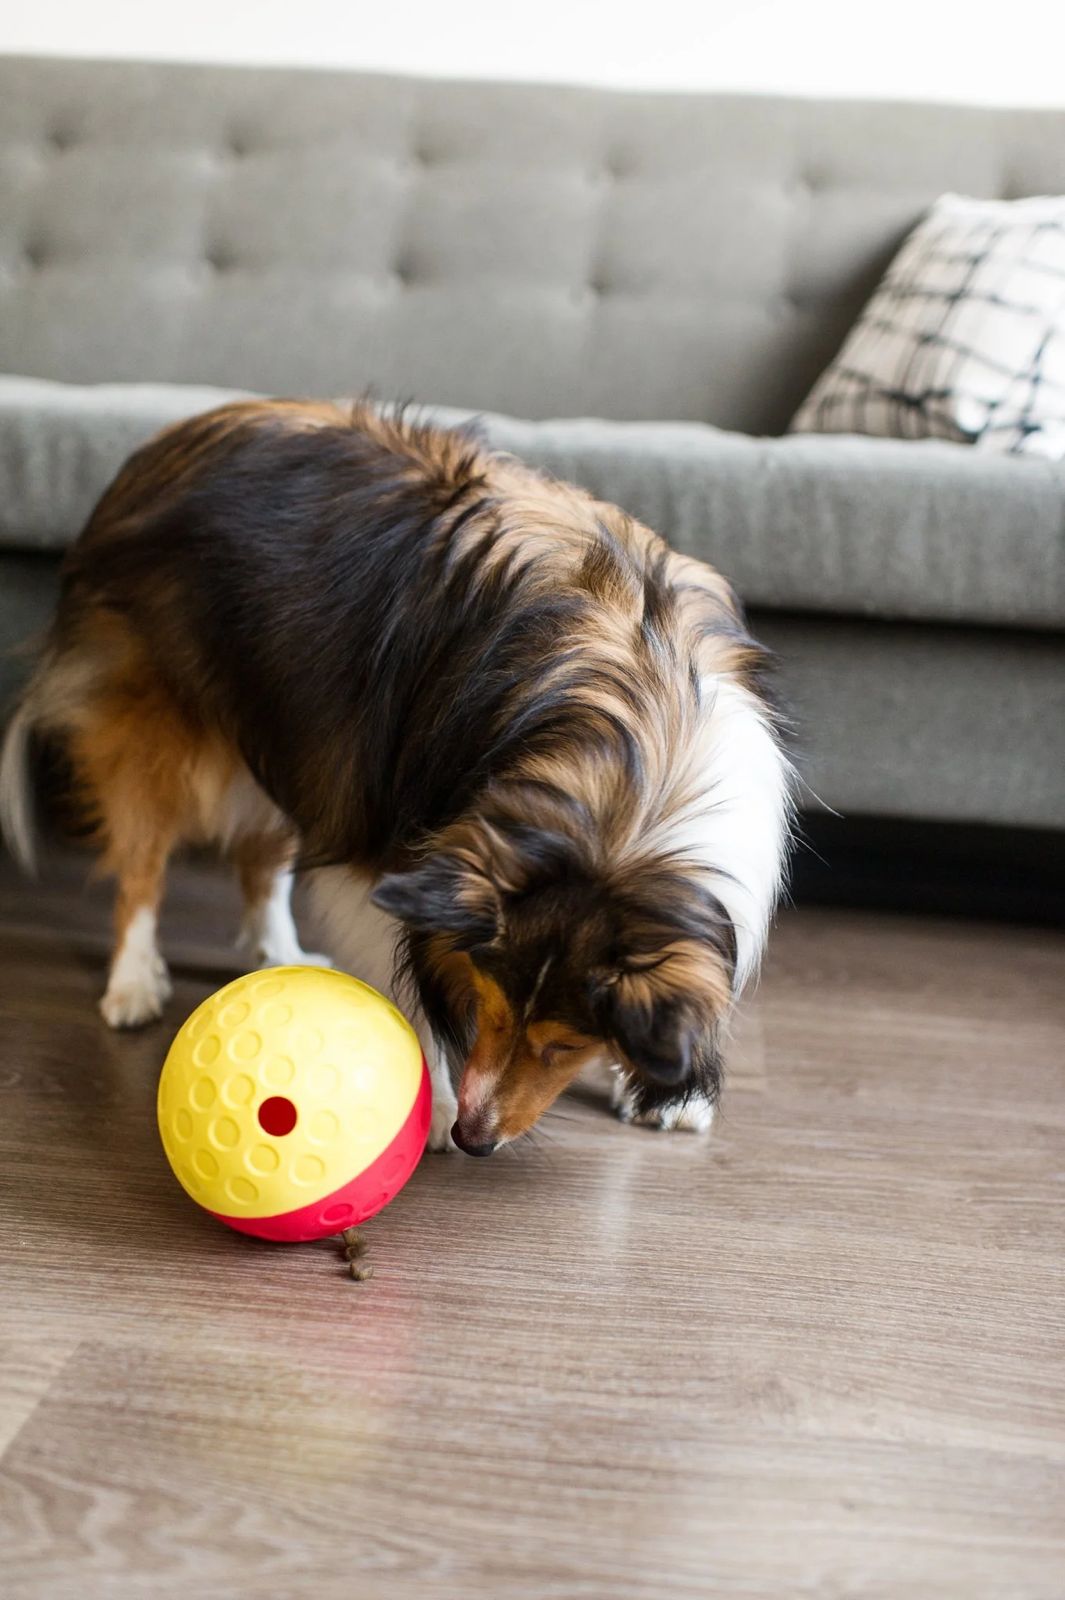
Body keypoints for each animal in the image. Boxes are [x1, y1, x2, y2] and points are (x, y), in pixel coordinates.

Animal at [2, 400, 786, 1152]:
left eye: (566, 1044)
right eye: (495, 1001)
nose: (477, 1140)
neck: (634, 772)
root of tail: (175, 434)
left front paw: (658, 1092)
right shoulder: (397, 848)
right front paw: (434, 1105)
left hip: (300, 734)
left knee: (260, 859)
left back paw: (280, 952)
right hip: (172, 735)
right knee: (143, 865)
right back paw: (134, 984)